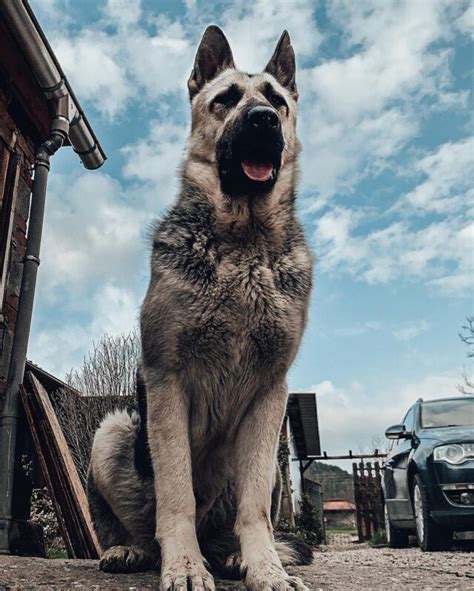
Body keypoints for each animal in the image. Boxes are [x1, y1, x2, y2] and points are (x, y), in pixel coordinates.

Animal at [87, 24, 312, 591]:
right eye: (225, 99)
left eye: (277, 101)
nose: (263, 120)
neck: (243, 244)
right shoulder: (168, 382)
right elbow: (177, 495)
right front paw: (185, 566)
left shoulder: (270, 395)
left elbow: (255, 510)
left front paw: (266, 568)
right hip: (112, 430)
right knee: (142, 525)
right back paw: (136, 550)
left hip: (265, 461)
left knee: (236, 519)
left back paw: (231, 556)